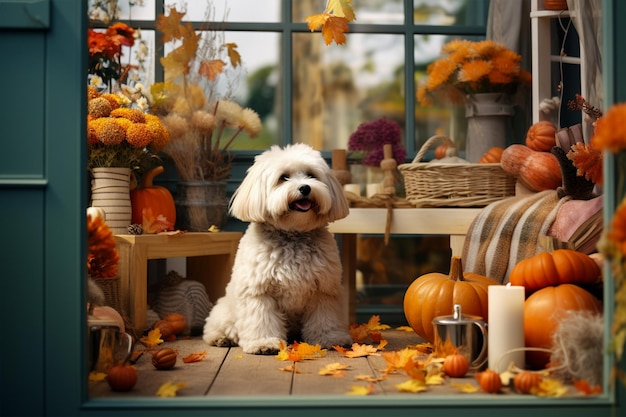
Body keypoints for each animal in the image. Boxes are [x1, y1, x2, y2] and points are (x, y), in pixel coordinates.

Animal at [202, 141, 354, 352]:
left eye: (311, 175)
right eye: (283, 177)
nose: (305, 188)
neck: (293, 234)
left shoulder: (323, 291)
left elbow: (324, 318)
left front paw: (329, 338)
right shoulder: (259, 292)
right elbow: (262, 320)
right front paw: (264, 342)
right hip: (224, 311)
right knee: (214, 328)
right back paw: (221, 338)